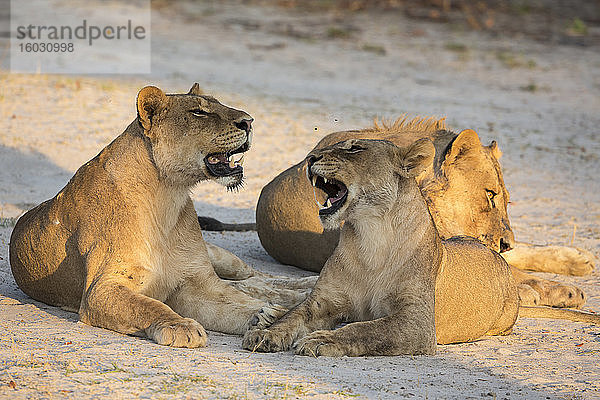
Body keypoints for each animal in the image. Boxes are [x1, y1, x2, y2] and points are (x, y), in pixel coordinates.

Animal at [8, 83, 290, 346]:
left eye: (218, 104)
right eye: (198, 112)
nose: (249, 122)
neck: (166, 196)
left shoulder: (196, 281)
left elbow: (234, 304)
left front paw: (270, 316)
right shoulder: (101, 289)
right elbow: (149, 305)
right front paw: (181, 327)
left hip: (221, 258)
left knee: (259, 278)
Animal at [243, 140, 600, 356]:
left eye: (355, 149)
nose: (311, 158)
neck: (370, 237)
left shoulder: (415, 323)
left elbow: (366, 329)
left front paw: (322, 339)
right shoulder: (324, 301)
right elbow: (298, 314)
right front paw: (268, 333)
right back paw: (267, 315)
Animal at [251, 117, 592, 308]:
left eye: (507, 200)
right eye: (490, 195)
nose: (506, 242)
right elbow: (512, 270)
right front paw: (554, 291)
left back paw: (580, 258)